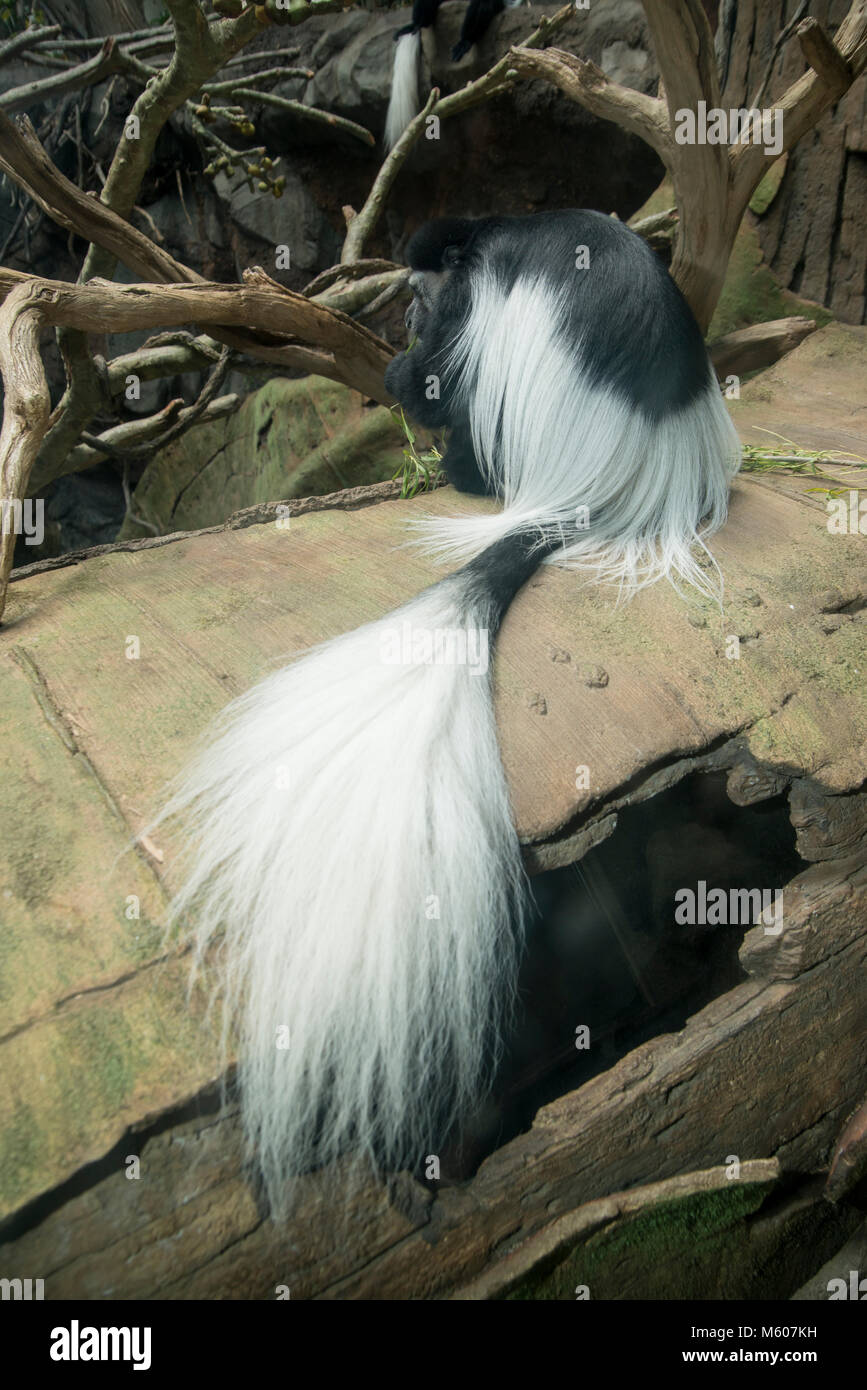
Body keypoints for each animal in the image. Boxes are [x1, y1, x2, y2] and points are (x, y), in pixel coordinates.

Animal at [160, 210, 741, 1212]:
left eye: (423, 298)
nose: (408, 315)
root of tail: (615, 487)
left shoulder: (475, 307)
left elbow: (439, 376)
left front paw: (404, 377)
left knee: (470, 411)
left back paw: (457, 468)